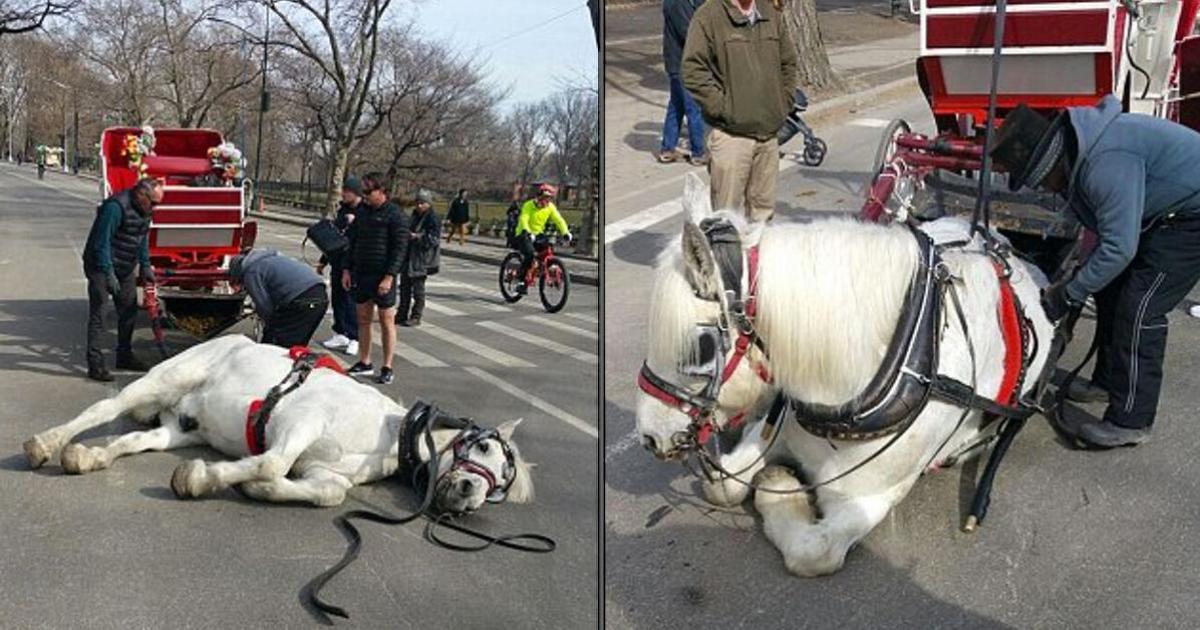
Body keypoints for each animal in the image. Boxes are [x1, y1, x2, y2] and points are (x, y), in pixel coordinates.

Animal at [23, 333, 535, 511]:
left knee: (131, 440)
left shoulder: (324, 472)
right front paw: (203, 478)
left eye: (501, 486)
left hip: (178, 428)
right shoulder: (301, 421)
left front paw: (253, 488)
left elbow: (329, 494)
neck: (382, 432)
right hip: (163, 380)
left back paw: (88, 457)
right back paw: (46, 444)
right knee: (104, 411)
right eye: (484, 447)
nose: (469, 495)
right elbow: (271, 462)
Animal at [638, 175, 1051, 573]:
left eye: (702, 347)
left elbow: (812, 552)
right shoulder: (777, 432)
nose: (649, 437)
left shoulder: (865, 499)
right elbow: (722, 486)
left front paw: (778, 482)